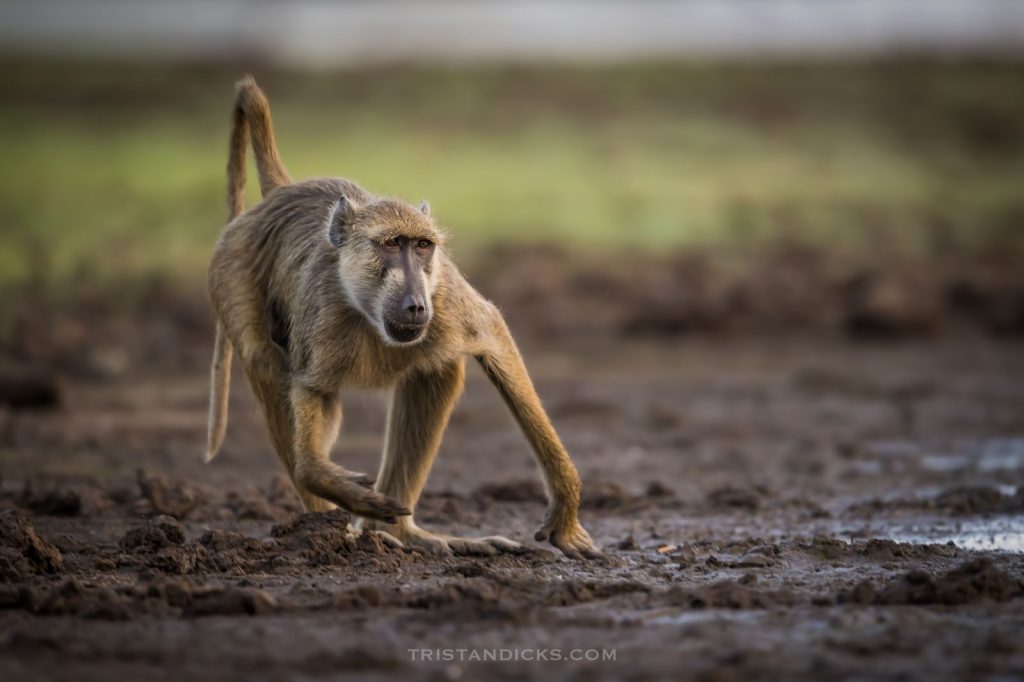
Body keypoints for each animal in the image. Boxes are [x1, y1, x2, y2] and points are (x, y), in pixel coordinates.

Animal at [205, 76, 599, 559]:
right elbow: (311, 399)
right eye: (392, 244)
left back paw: (402, 535)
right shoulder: (324, 320)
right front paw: (341, 490)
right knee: (265, 363)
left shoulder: (446, 301)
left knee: (437, 373)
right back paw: (330, 530)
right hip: (232, 267)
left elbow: (494, 339)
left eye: (422, 246)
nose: (415, 305)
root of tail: (281, 193)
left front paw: (564, 519)